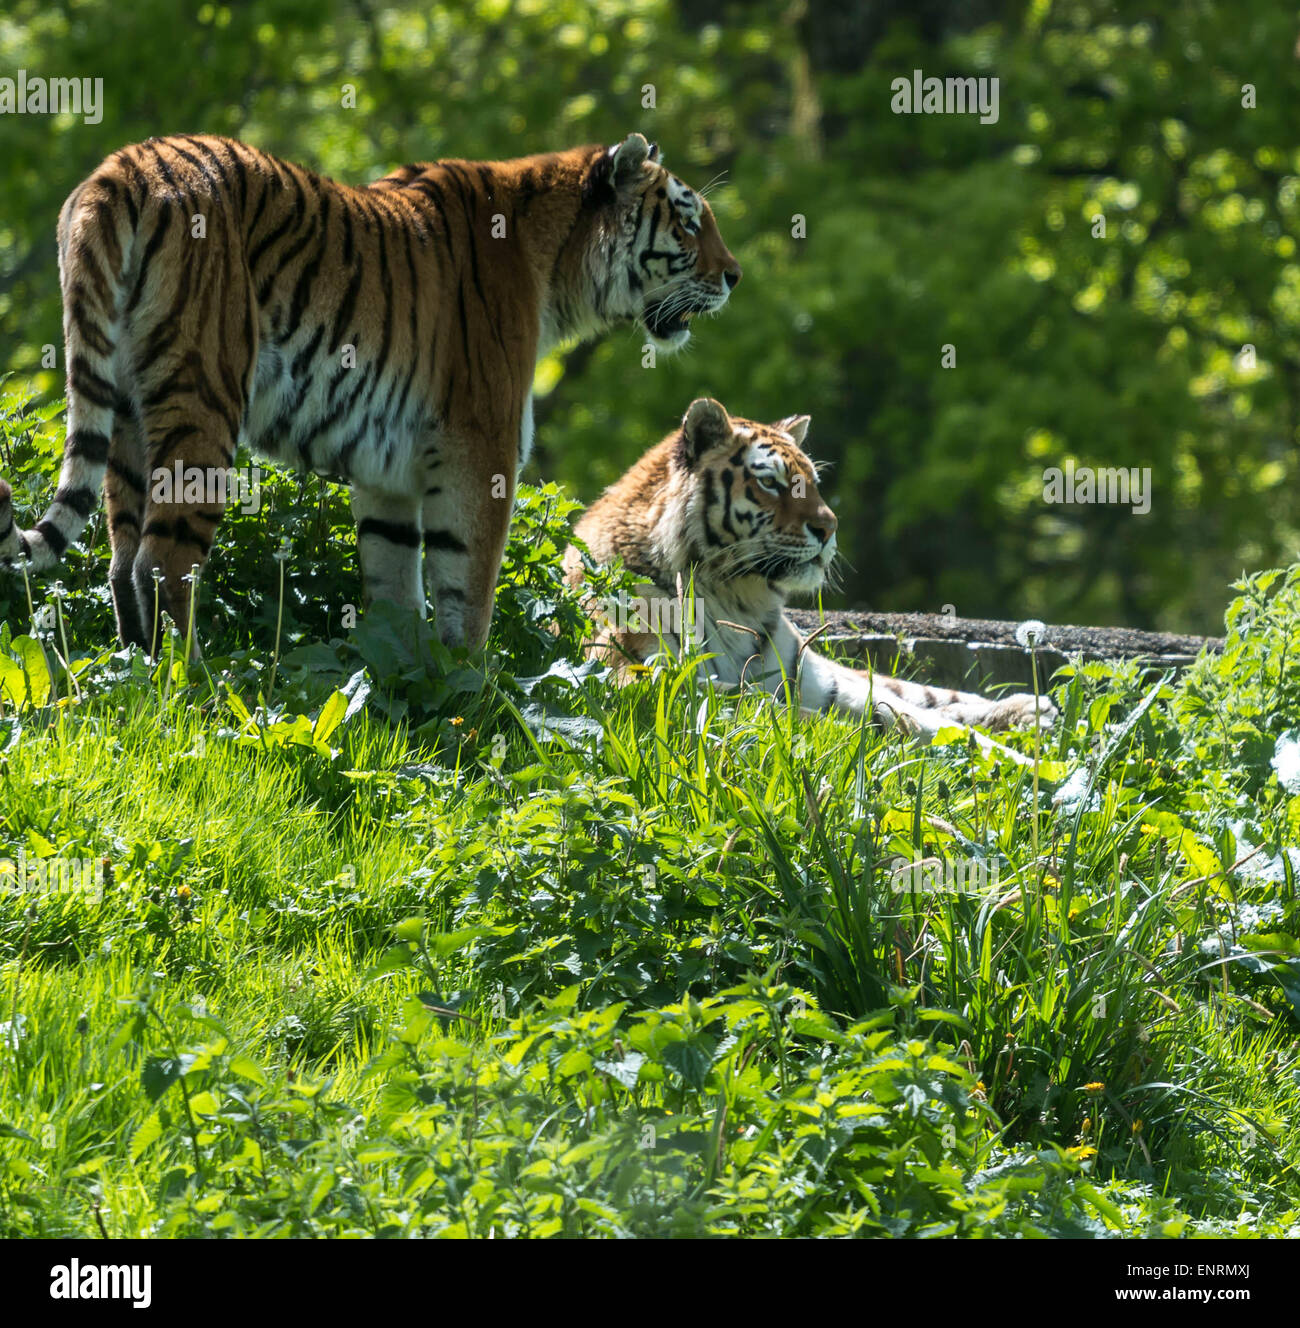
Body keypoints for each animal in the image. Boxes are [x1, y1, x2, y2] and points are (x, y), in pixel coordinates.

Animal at [0, 133, 738, 648]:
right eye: (688, 222)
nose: (733, 275)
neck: (557, 260)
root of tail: (122, 167)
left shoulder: (390, 470)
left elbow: (396, 587)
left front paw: (410, 681)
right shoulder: (482, 447)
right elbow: (468, 587)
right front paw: (474, 694)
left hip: (126, 411)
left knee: (121, 561)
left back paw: (135, 676)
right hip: (202, 399)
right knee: (163, 561)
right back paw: (190, 688)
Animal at [563, 398, 1051, 743]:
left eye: (813, 483)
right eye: (771, 482)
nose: (830, 528)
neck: (736, 596)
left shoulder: (811, 679)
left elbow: (917, 715)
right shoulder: (645, 678)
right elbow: (794, 714)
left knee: (926, 694)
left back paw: (1035, 710)